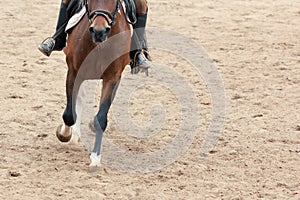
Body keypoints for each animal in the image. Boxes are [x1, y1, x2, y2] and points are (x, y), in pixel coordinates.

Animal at [55, 0, 132, 166]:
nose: (99, 32)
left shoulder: (112, 77)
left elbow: (101, 118)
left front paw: (95, 158)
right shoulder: (74, 71)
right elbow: (69, 114)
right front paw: (64, 134)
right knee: (78, 98)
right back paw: (74, 135)